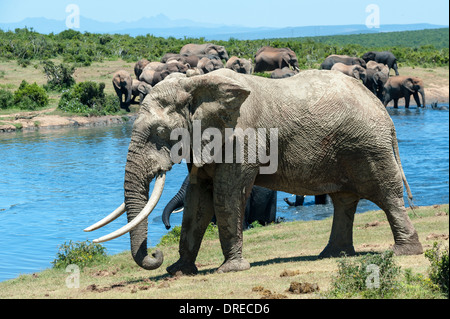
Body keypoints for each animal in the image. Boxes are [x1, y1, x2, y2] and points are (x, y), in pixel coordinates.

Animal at [86, 69, 424, 276]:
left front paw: (230, 270)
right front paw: (179, 271)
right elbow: (198, 198)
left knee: (386, 195)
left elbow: (226, 195)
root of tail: (382, 110)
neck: (197, 84)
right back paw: (333, 255)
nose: (156, 255)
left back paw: (404, 252)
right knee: (345, 200)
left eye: (159, 132)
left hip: (368, 146)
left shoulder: (241, 137)